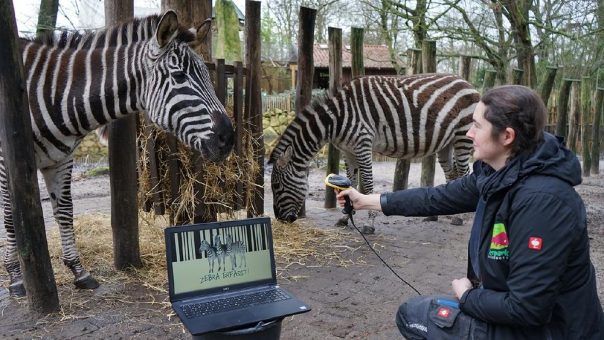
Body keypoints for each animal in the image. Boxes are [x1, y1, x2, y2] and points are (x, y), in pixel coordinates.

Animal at [1, 11, 234, 298]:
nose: (229, 138)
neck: (54, 93)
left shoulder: (61, 159)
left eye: (207, 76)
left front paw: (78, 271)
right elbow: (11, 216)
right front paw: (15, 277)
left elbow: (64, 211)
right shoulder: (7, 160)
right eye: (179, 77)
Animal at [272, 73, 478, 234]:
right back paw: (447, 216)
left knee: (464, 173)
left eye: (277, 186)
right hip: (446, 144)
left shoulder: (363, 144)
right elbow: (350, 181)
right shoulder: (347, 151)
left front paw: (370, 223)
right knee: (451, 175)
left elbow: (368, 183)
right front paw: (345, 218)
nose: (280, 219)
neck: (336, 120)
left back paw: (463, 216)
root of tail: (467, 82)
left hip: (463, 136)